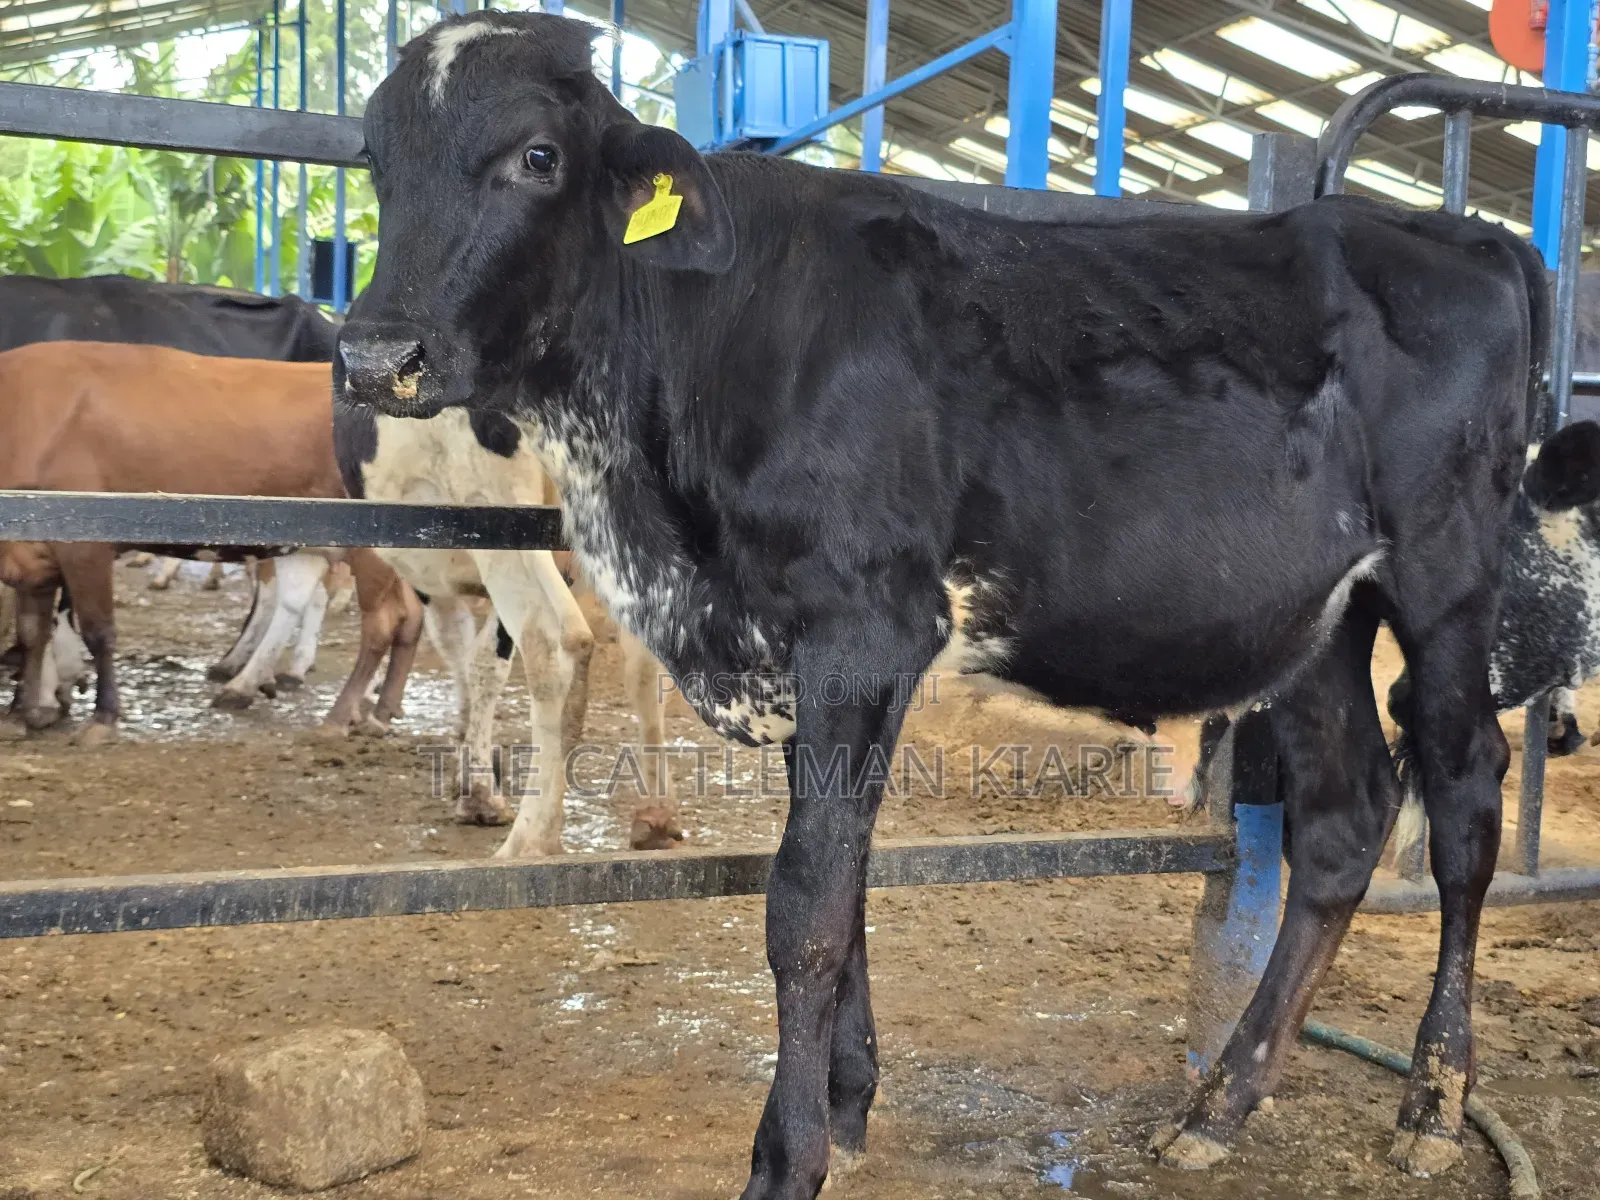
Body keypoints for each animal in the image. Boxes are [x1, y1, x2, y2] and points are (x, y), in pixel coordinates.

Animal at [0, 341, 418, 745]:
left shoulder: (84, 546)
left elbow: (97, 631)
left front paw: (101, 718)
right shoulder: (30, 556)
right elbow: (31, 633)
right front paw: (20, 713)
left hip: (372, 547)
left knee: (381, 623)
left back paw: (337, 716)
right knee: (407, 615)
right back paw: (379, 712)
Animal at [335, 404, 683, 854]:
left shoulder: (433, 569)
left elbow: (466, 653)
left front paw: (476, 787)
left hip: (500, 518)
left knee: (556, 643)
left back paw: (531, 838)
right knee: (644, 664)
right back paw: (654, 815)